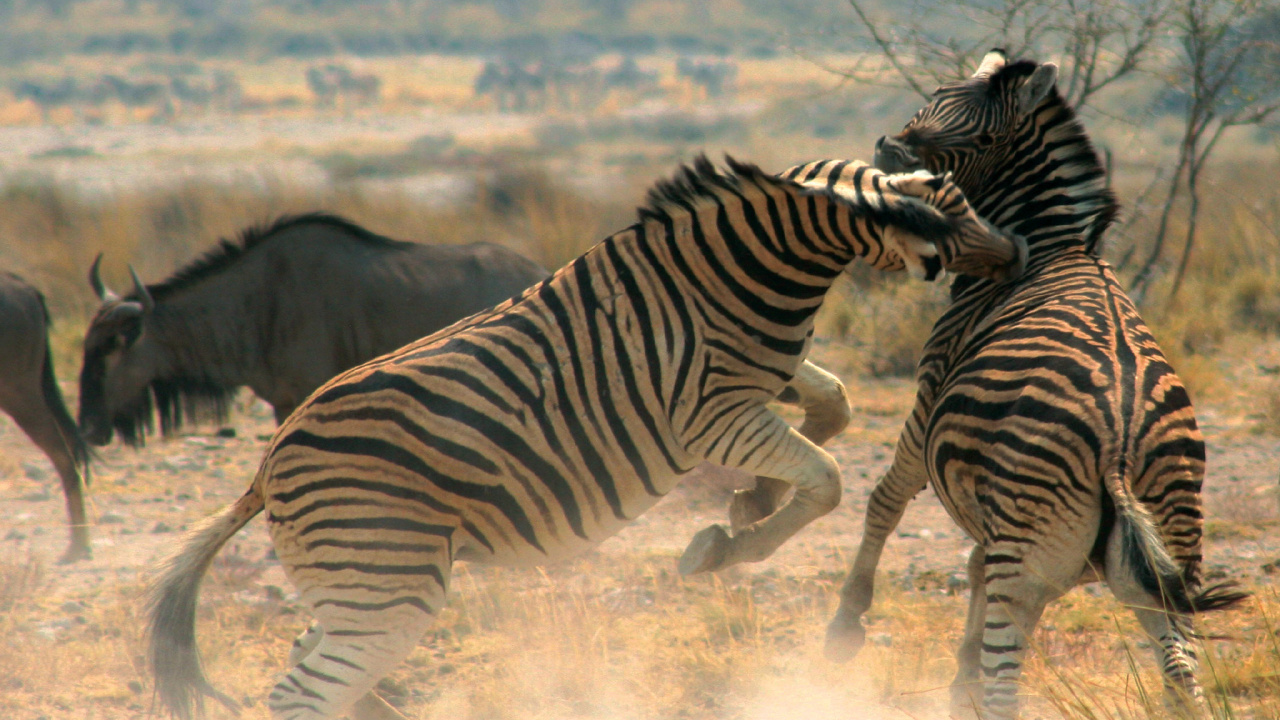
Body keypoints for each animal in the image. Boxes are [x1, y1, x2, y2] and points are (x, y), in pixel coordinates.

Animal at [145, 154, 1024, 712]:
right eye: (948, 211)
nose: (1016, 252)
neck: (746, 276)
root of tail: (266, 466)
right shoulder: (711, 415)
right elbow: (827, 478)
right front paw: (725, 544)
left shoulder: (761, 383)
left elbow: (834, 410)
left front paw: (750, 502)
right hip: (387, 584)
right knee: (303, 692)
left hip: (356, 584)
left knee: (316, 672)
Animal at [819, 47, 1249, 712]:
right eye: (937, 95)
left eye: (985, 137)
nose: (889, 152)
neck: (1053, 247)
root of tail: (1120, 448)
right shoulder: (999, 514)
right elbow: (972, 563)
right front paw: (960, 678)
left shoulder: (927, 394)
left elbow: (886, 498)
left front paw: (846, 623)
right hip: (1165, 563)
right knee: (1183, 682)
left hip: (1029, 559)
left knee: (1007, 689)